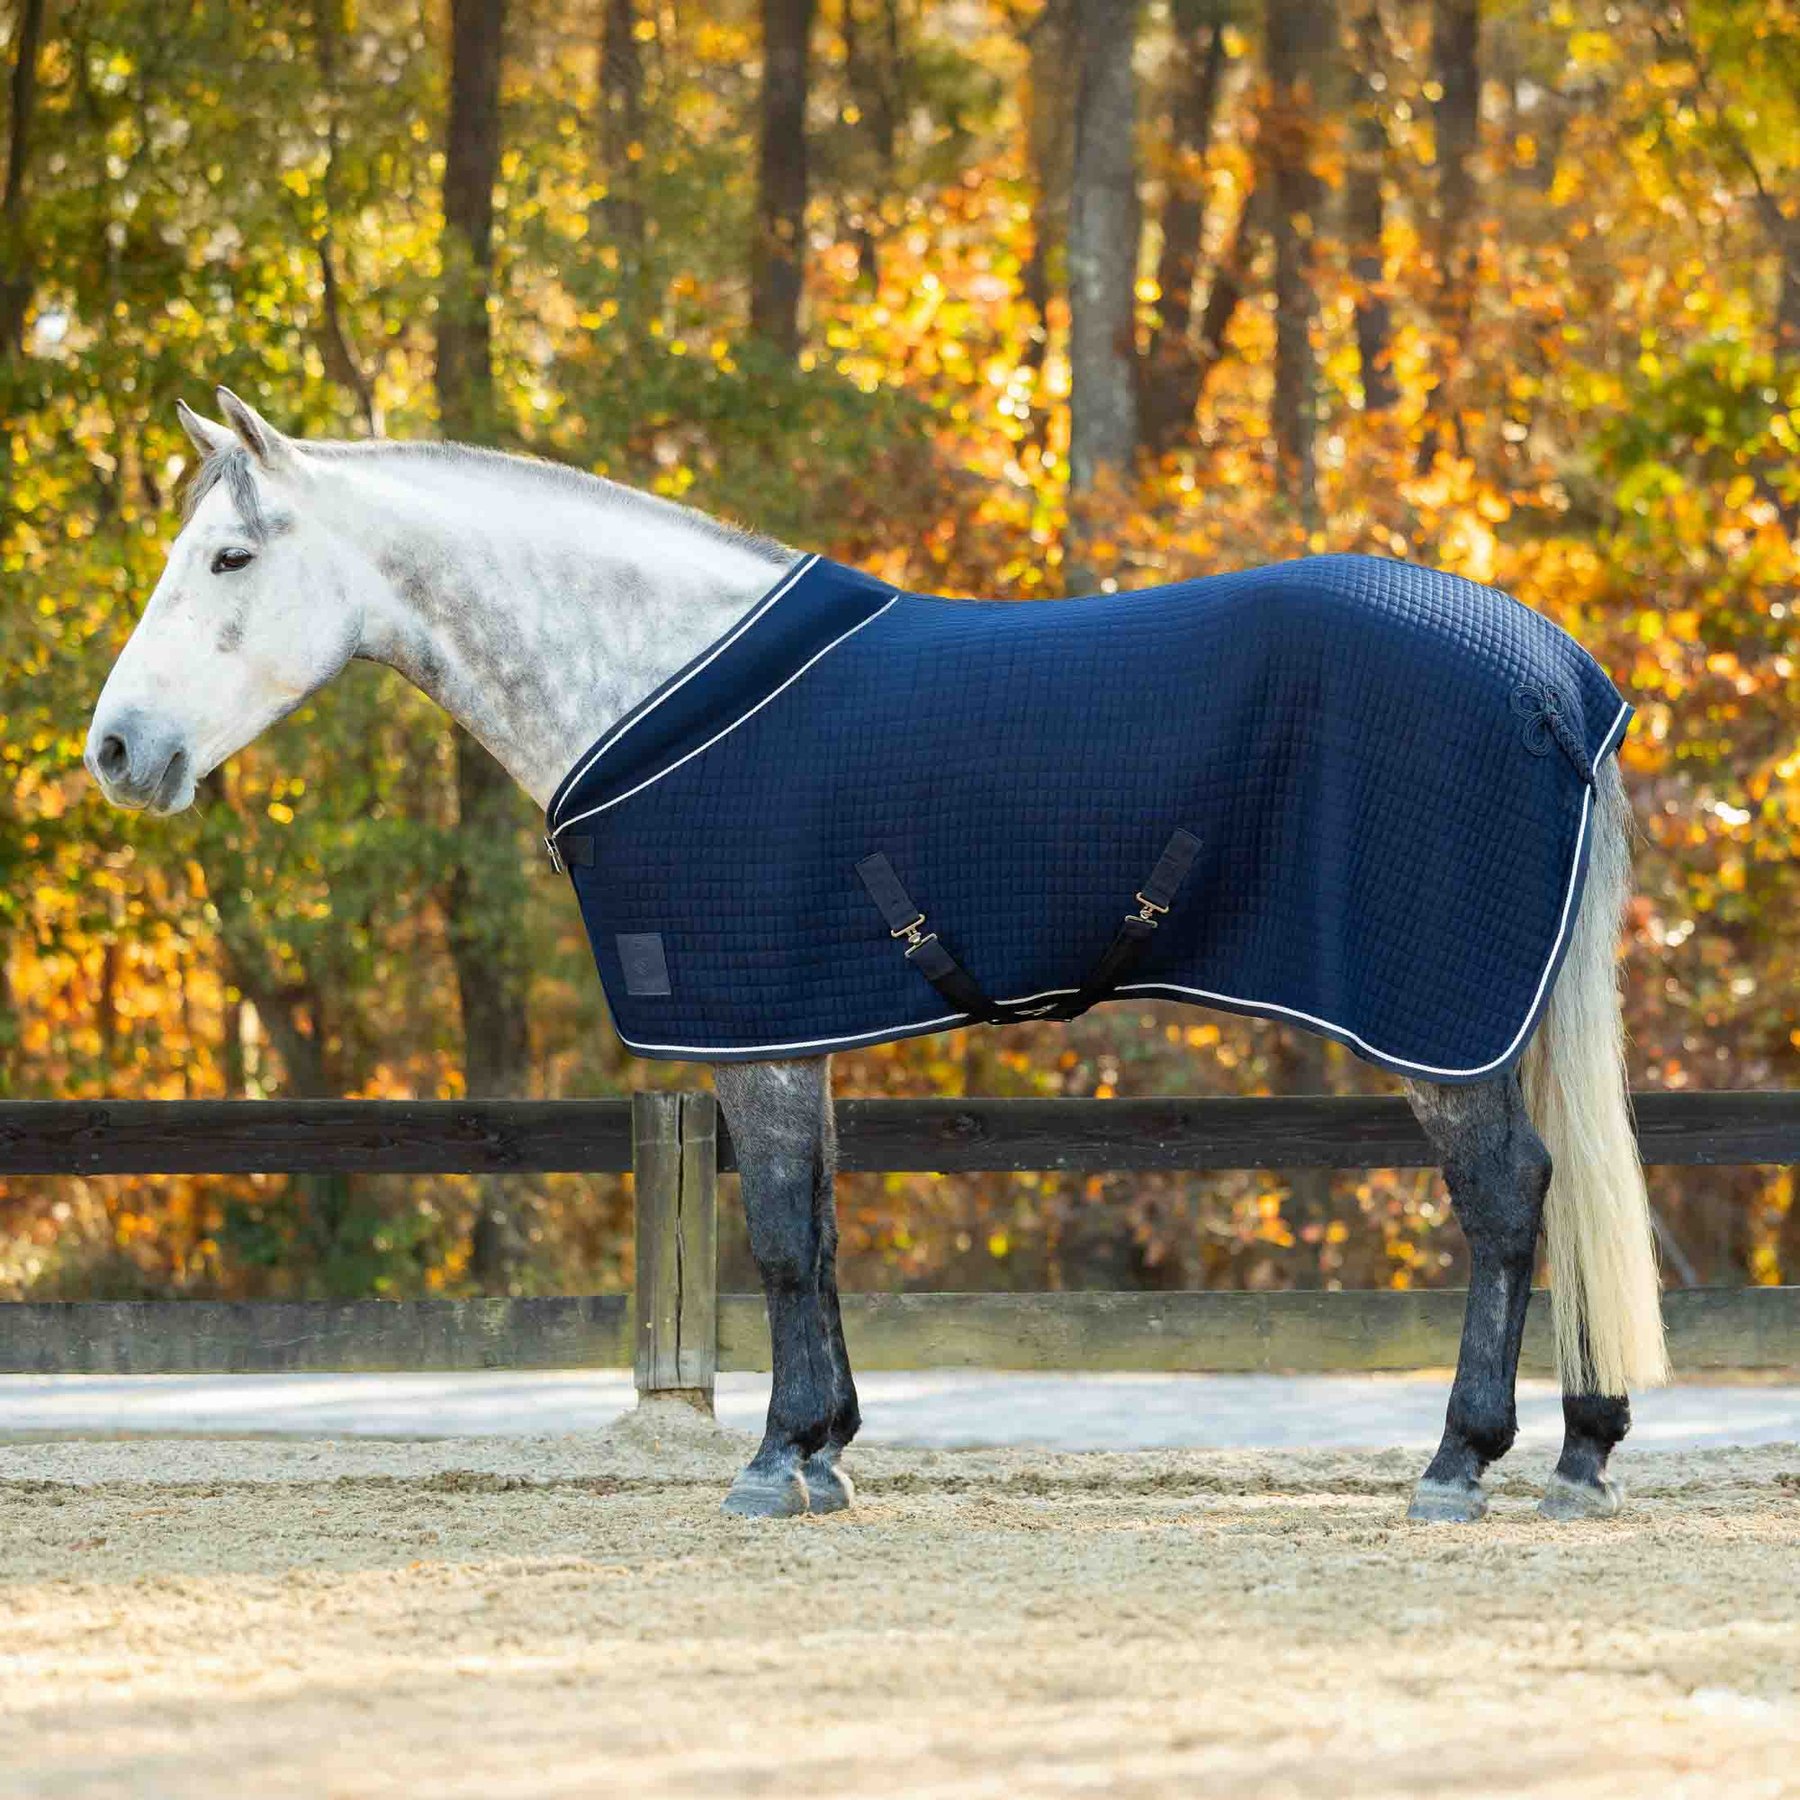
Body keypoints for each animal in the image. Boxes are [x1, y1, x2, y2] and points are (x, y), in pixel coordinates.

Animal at [84, 390, 1668, 1523]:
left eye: (229, 557)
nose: (116, 752)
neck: (653, 686)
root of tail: (1556, 679)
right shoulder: (796, 1029)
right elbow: (826, 1233)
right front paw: (830, 1447)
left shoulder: (751, 1033)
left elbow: (783, 1239)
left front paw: (777, 1462)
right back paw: (1580, 1453)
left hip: (1437, 1021)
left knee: (1509, 1200)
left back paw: (1464, 1463)